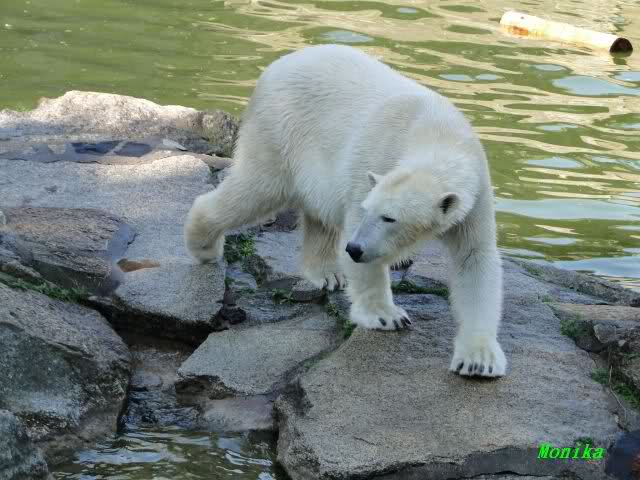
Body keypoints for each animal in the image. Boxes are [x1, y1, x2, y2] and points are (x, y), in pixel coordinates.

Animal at [184, 44, 507, 377]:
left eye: (389, 217)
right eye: (369, 210)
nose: (354, 248)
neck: (437, 135)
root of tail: (278, 64)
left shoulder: (475, 198)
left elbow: (475, 260)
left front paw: (478, 360)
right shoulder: (376, 161)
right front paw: (386, 316)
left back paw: (327, 273)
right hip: (280, 129)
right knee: (256, 188)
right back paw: (204, 245)